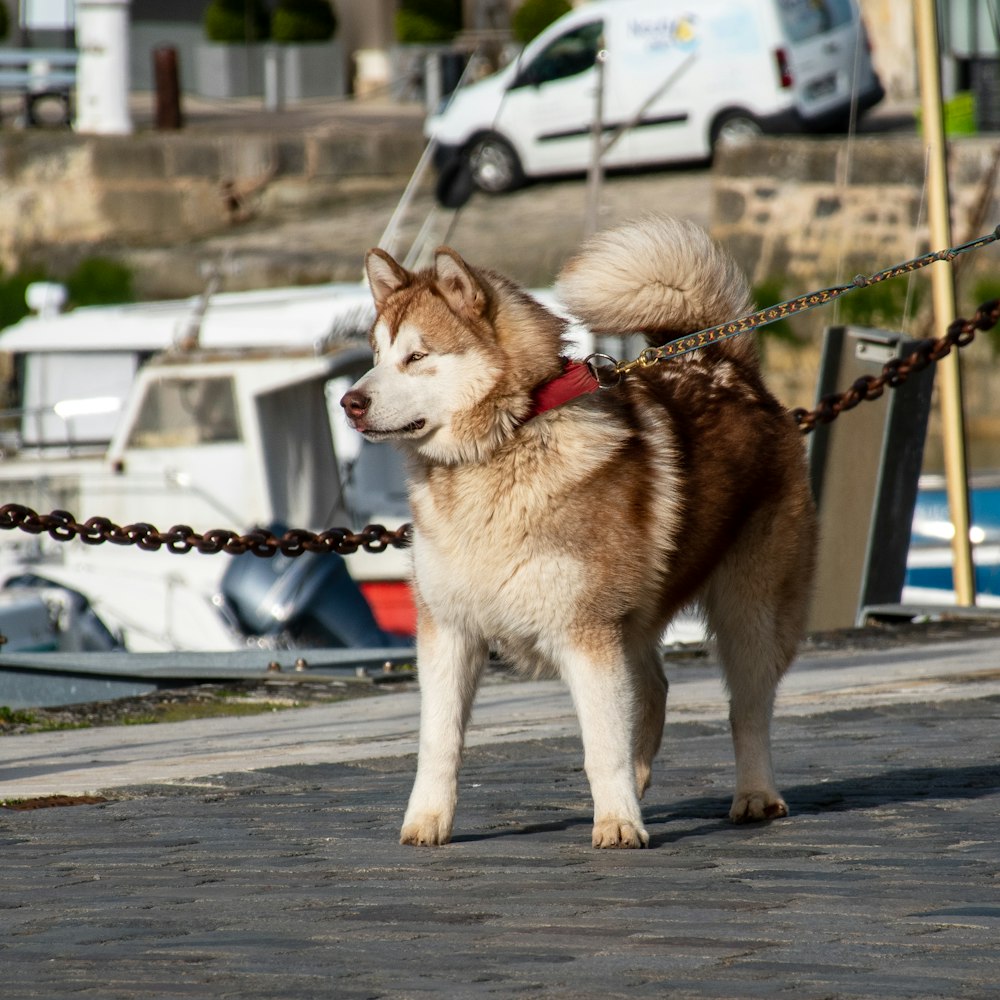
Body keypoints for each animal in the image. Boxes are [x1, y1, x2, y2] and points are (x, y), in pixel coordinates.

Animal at [340, 215, 816, 848]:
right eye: (374, 355)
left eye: (417, 356)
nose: (350, 402)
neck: (504, 442)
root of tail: (725, 364)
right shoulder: (449, 631)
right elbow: (439, 742)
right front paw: (427, 821)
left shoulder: (586, 634)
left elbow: (601, 745)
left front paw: (616, 822)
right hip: (633, 622)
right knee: (655, 691)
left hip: (749, 614)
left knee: (747, 709)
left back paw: (755, 795)